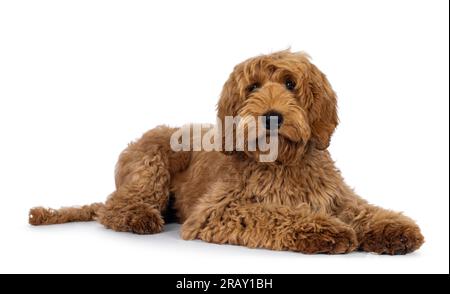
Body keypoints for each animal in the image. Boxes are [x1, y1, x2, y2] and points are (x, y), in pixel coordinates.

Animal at [29, 50, 424, 255]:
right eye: (253, 87)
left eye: (290, 84)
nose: (272, 116)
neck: (283, 163)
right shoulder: (218, 210)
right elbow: (273, 213)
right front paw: (323, 230)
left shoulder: (337, 197)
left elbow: (363, 210)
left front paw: (393, 228)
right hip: (151, 162)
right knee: (114, 206)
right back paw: (138, 217)